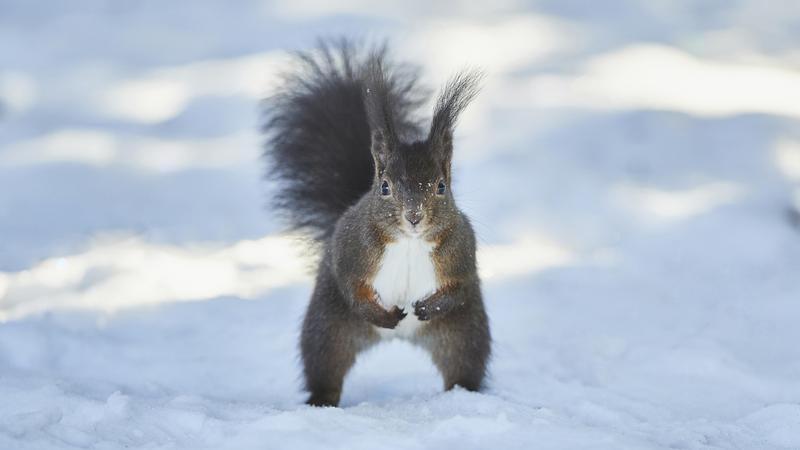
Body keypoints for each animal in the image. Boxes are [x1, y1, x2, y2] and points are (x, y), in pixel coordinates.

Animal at [262, 38, 490, 406]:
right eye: (385, 187)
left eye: (441, 186)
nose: (414, 216)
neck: (410, 242)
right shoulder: (351, 247)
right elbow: (351, 286)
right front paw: (385, 314)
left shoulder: (461, 249)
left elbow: (459, 287)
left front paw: (426, 307)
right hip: (329, 329)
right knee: (326, 367)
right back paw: (322, 401)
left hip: (464, 334)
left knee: (463, 367)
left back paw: (463, 395)